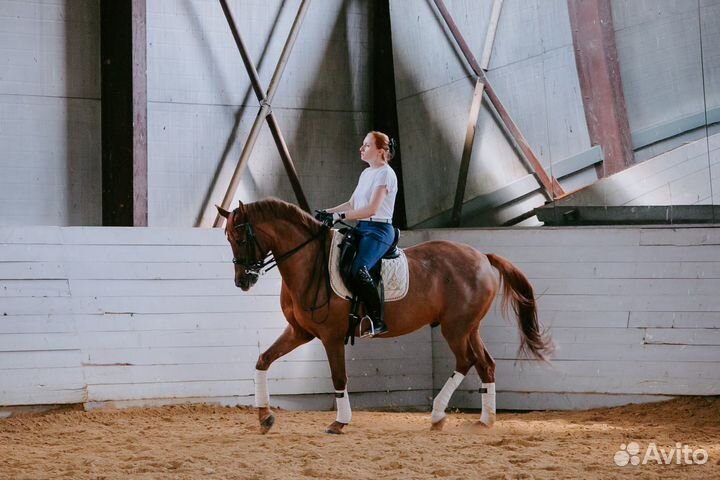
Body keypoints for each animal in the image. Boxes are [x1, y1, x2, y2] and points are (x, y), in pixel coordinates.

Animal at [217, 197, 556, 434]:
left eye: (241, 238)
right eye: (228, 239)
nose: (242, 281)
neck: (309, 262)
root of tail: (482, 257)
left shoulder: (330, 336)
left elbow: (338, 377)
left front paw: (340, 422)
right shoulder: (300, 332)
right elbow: (263, 360)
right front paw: (265, 417)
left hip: (455, 328)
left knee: (466, 361)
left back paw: (438, 414)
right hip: (469, 327)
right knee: (485, 364)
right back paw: (485, 421)